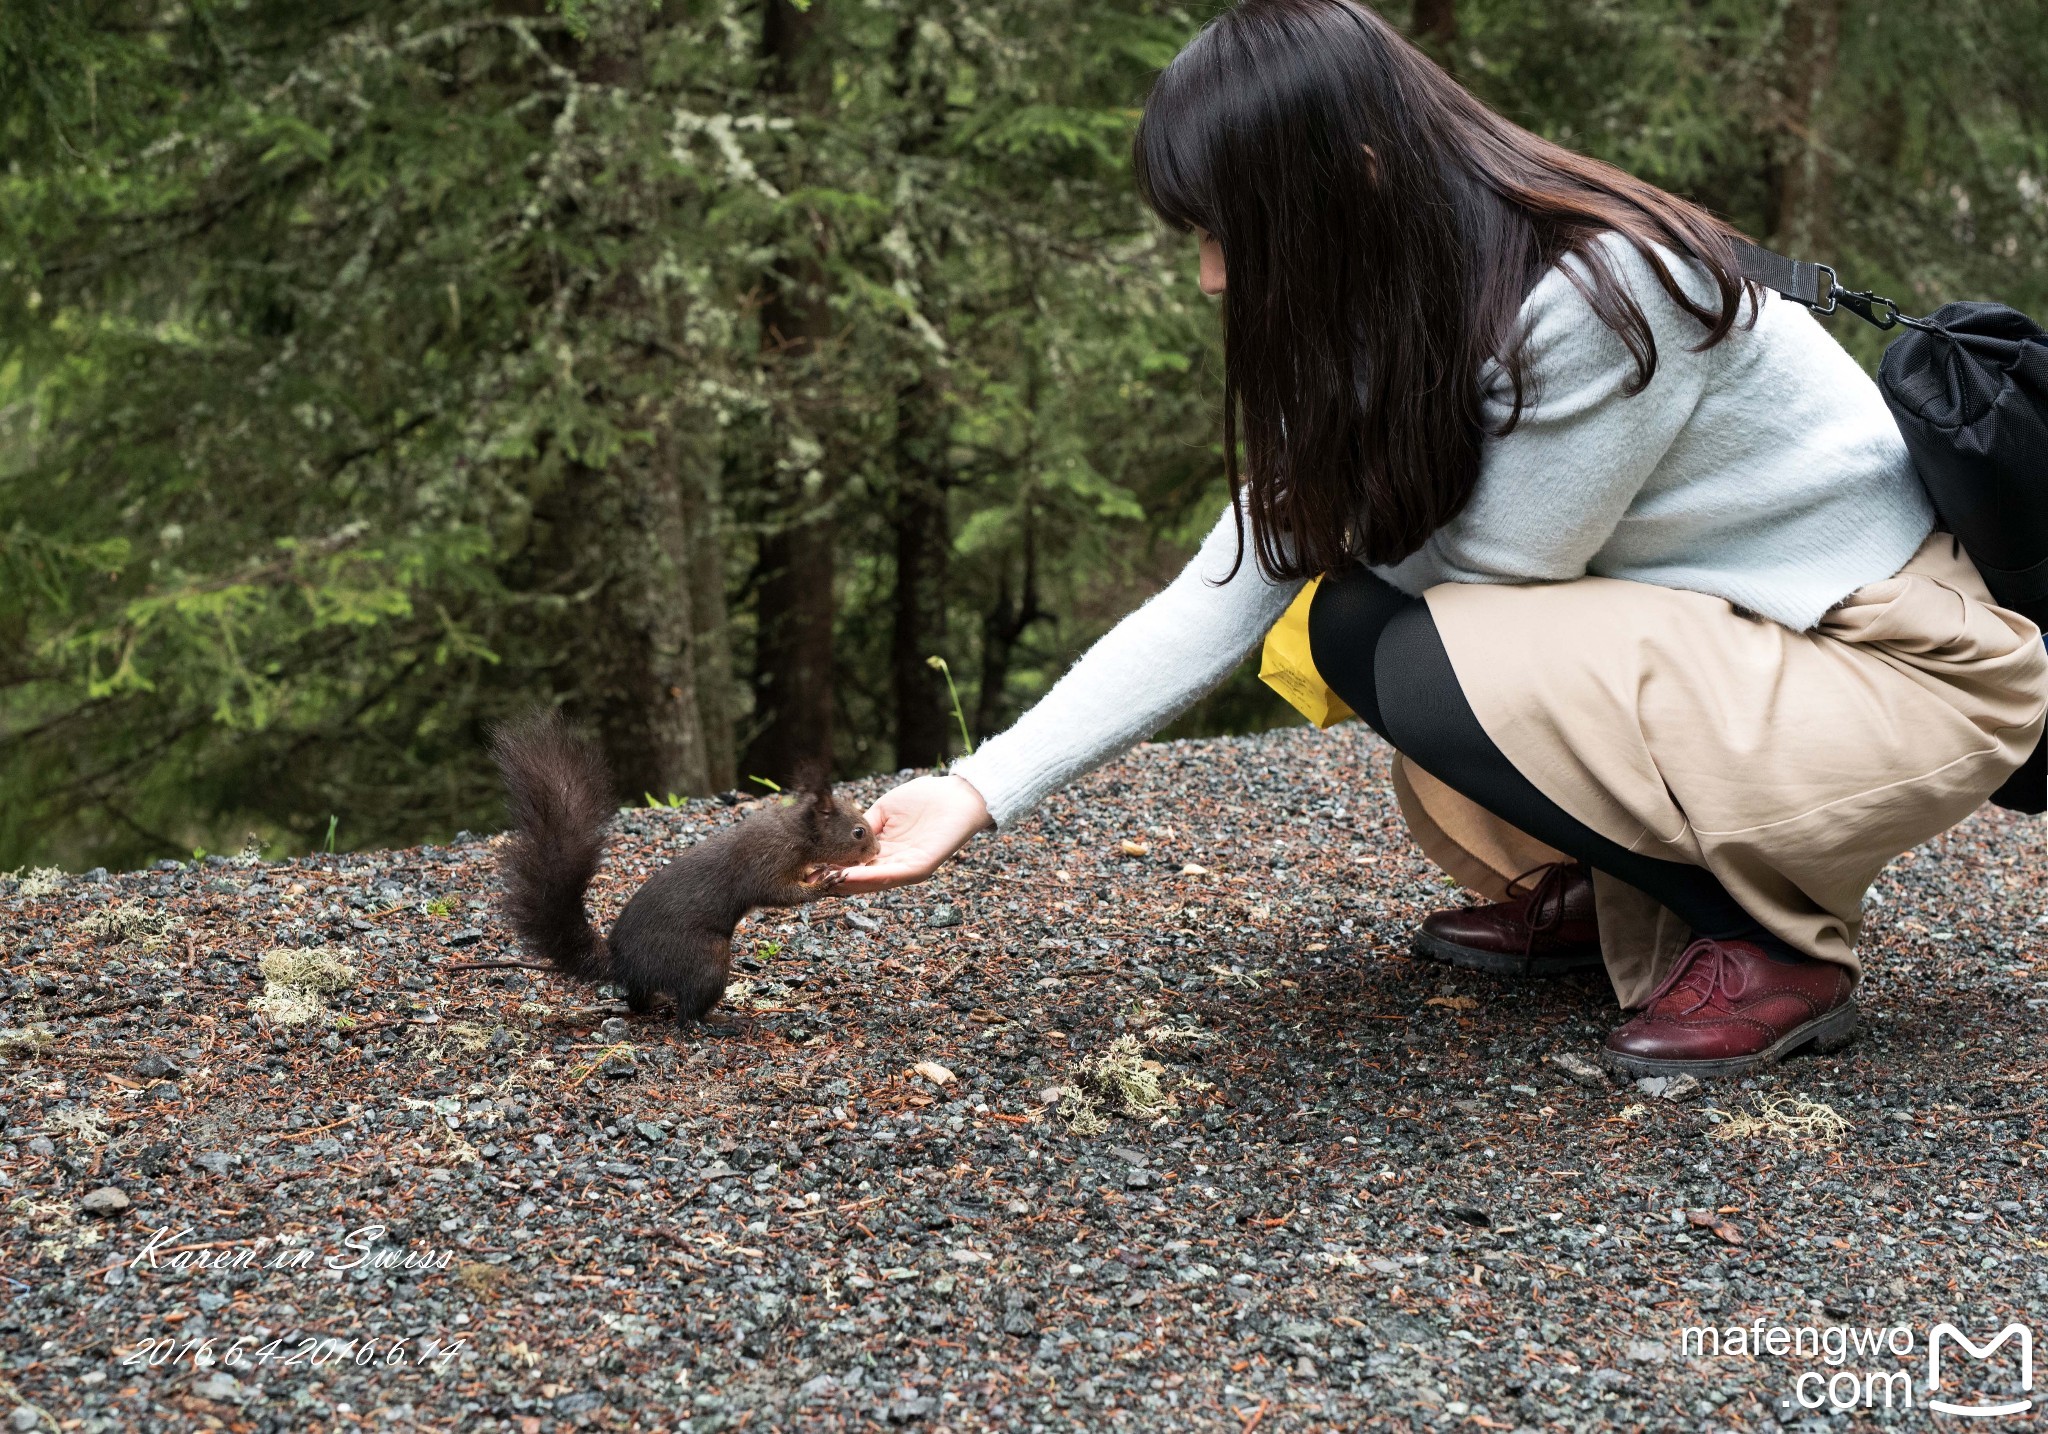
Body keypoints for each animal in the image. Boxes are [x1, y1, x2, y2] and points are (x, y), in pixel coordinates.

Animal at [456, 708, 880, 1032]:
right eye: (858, 831)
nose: (876, 851)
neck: (795, 831)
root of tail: (623, 961)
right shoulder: (766, 861)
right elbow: (777, 894)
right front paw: (823, 882)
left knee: (638, 1002)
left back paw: (654, 1002)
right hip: (705, 957)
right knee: (688, 1015)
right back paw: (720, 1023)